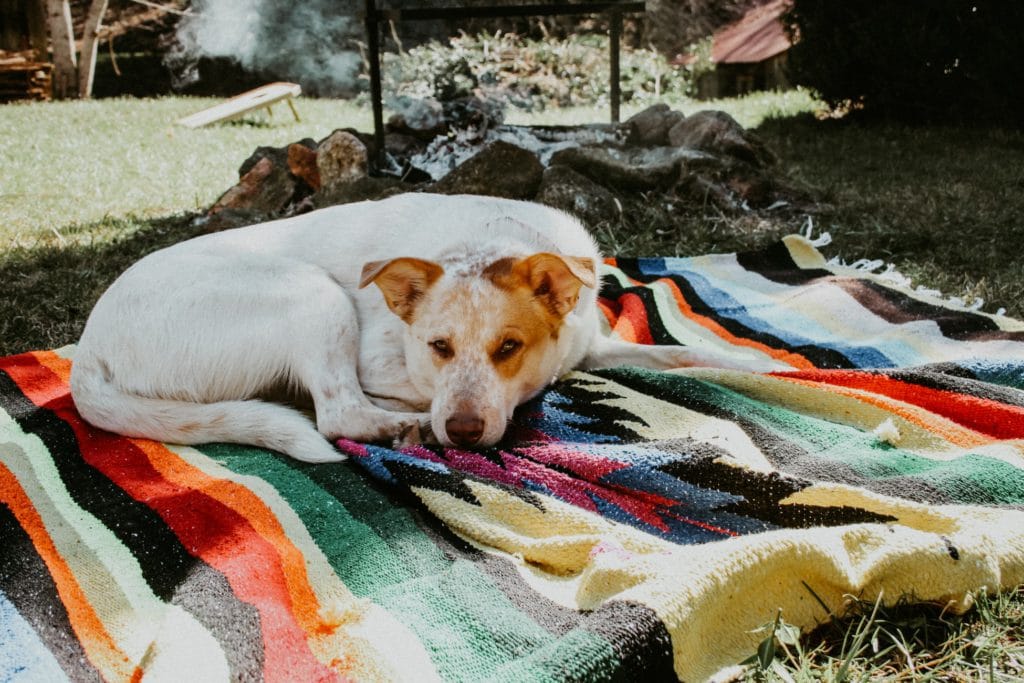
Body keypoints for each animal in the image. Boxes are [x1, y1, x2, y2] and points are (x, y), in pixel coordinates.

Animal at [70, 192, 774, 462]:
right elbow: (395, 392)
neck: (485, 242)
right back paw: (400, 426)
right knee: (336, 412)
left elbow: (674, 353)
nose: (461, 432)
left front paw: (767, 365)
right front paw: (424, 415)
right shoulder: (381, 359)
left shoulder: (591, 346)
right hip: (312, 295)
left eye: (509, 347)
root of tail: (87, 355)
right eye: (439, 347)